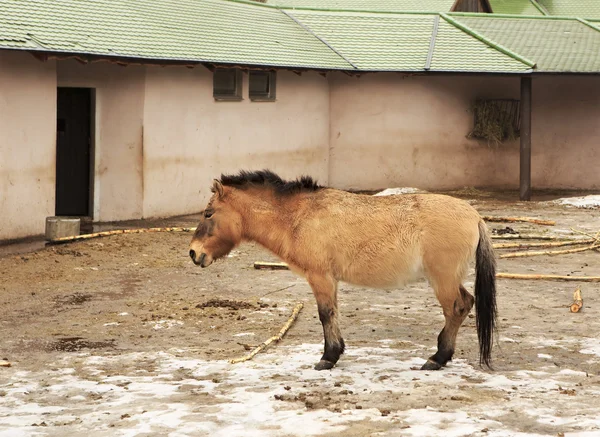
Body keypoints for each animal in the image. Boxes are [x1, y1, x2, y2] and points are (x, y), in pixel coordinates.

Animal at [189, 170, 496, 372]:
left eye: (208, 213)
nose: (193, 252)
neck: (299, 217)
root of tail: (475, 216)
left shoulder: (320, 278)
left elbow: (326, 314)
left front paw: (328, 358)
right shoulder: (330, 280)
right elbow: (333, 313)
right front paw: (335, 352)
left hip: (443, 280)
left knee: (456, 308)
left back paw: (437, 358)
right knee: (466, 303)